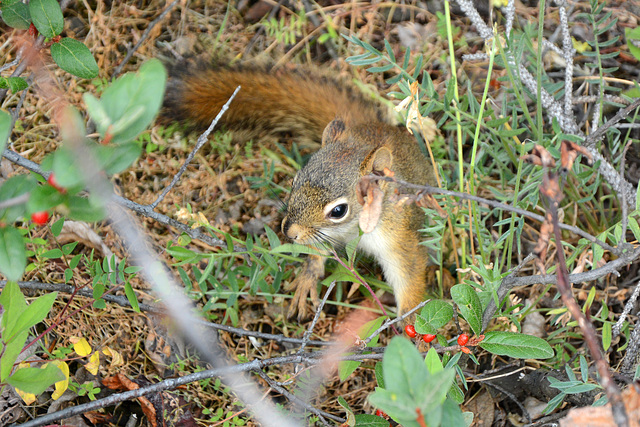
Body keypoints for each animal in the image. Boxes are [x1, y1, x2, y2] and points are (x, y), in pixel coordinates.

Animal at [162, 61, 438, 320]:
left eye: (339, 211)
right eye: (294, 181)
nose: (289, 232)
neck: (354, 229)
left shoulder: (399, 236)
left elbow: (410, 271)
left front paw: (413, 322)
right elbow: (315, 250)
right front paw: (308, 277)